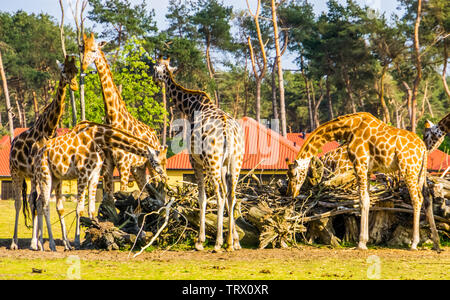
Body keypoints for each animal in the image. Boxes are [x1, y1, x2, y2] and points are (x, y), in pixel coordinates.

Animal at [8, 54, 78, 251]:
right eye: (64, 71)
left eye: (76, 70)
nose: (74, 85)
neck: (47, 130)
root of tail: (12, 143)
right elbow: (37, 202)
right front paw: (39, 241)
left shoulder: (53, 174)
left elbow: (56, 206)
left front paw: (65, 243)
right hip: (16, 172)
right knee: (19, 203)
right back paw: (16, 242)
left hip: (31, 176)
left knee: (33, 200)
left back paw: (35, 241)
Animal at [29, 120, 167, 250]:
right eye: (156, 162)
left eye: (165, 161)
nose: (164, 176)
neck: (98, 138)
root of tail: (37, 154)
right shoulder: (83, 174)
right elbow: (79, 209)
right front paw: (78, 242)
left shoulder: (94, 174)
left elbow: (91, 210)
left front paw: (96, 231)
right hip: (45, 174)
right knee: (45, 205)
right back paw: (51, 245)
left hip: (56, 178)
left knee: (39, 202)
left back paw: (43, 245)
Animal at [81, 32, 165, 202]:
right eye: (82, 48)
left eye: (94, 50)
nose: (84, 65)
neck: (113, 118)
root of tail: (156, 136)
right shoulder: (108, 165)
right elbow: (109, 198)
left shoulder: (124, 164)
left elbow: (123, 194)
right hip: (138, 168)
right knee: (145, 188)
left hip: (149, 166)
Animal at [152, 57, 244, 252]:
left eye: (155, 68)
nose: (155, 79)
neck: (190, 107)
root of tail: (228, 130)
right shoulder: (224, 165)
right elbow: (226, 197)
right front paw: (236, 240)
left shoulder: (195, 161)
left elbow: (202, 198)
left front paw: (200, 241)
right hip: (235, 162)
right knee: (232, 195)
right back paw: (230, 243)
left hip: (213, 161)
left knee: (220, 195)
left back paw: (218, 243)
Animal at [286, 112, 442, 251]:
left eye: (293, 174)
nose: (292, 193)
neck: (348, 129)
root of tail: (423, 148)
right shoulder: (367, 169)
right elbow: (366, 200)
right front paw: (365, 241)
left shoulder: (359, 163)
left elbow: (362, 200)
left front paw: (361, 243)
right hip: (420, 171)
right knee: (427, 198)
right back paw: (436, 243)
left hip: (408, 169)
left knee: (417, 198)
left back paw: (414, 244)